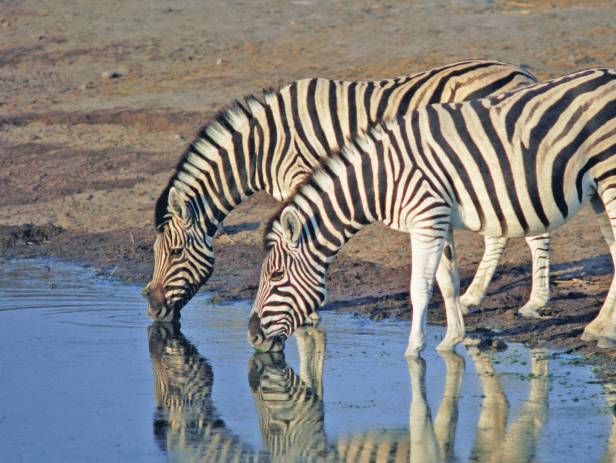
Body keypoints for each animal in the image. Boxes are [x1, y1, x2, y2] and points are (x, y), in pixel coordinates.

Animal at [142, 59, 540, 322]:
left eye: (175, 252)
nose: (154, 308)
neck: (262, 146)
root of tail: (522, 72)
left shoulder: (301, 176)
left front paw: (307, 311)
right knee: (500, 232)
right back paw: (472, 297)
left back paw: (534, 304)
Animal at [248, 67, 616, 356]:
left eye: (276, 276)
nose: (252, 335)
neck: (381, 176)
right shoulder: (439, 221)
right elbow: (448, 280)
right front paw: (452, 340)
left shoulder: (426, 219)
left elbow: (420, 286)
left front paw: (414, 350)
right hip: (598, 188)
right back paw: (599, 327)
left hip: (610, 176)